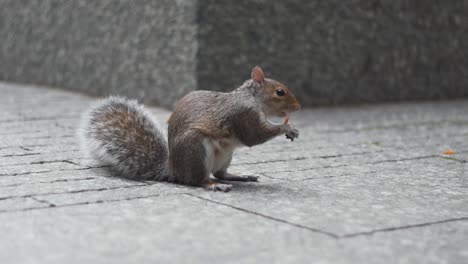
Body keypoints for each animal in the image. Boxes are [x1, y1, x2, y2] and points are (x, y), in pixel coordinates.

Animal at [80, 66, 300, 192]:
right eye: (280, 92)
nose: (298, 107)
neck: (251, 98)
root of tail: (174, 169)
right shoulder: (242, 115)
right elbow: (254, 136)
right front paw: (287, 127)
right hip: (197, 150)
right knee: (198, 180)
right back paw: (214, 185)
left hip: (225, 155)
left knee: (220, 172)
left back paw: (239, 176)